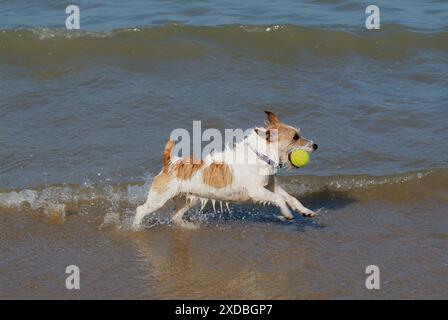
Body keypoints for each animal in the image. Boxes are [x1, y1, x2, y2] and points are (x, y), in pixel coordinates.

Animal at [133, 111, 318, 226]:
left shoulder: (272, 186)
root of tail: (170, 163)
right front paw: (286, 213)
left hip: (189, 199)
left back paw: (187, 227)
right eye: (295, 137)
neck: (260, 156)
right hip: (159, 198)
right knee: (141, 210)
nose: (316, 145)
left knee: (175, 216)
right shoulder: (257, 191)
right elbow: (280, 199)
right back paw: (135, 227)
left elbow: (291, 198)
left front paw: (306, 211)